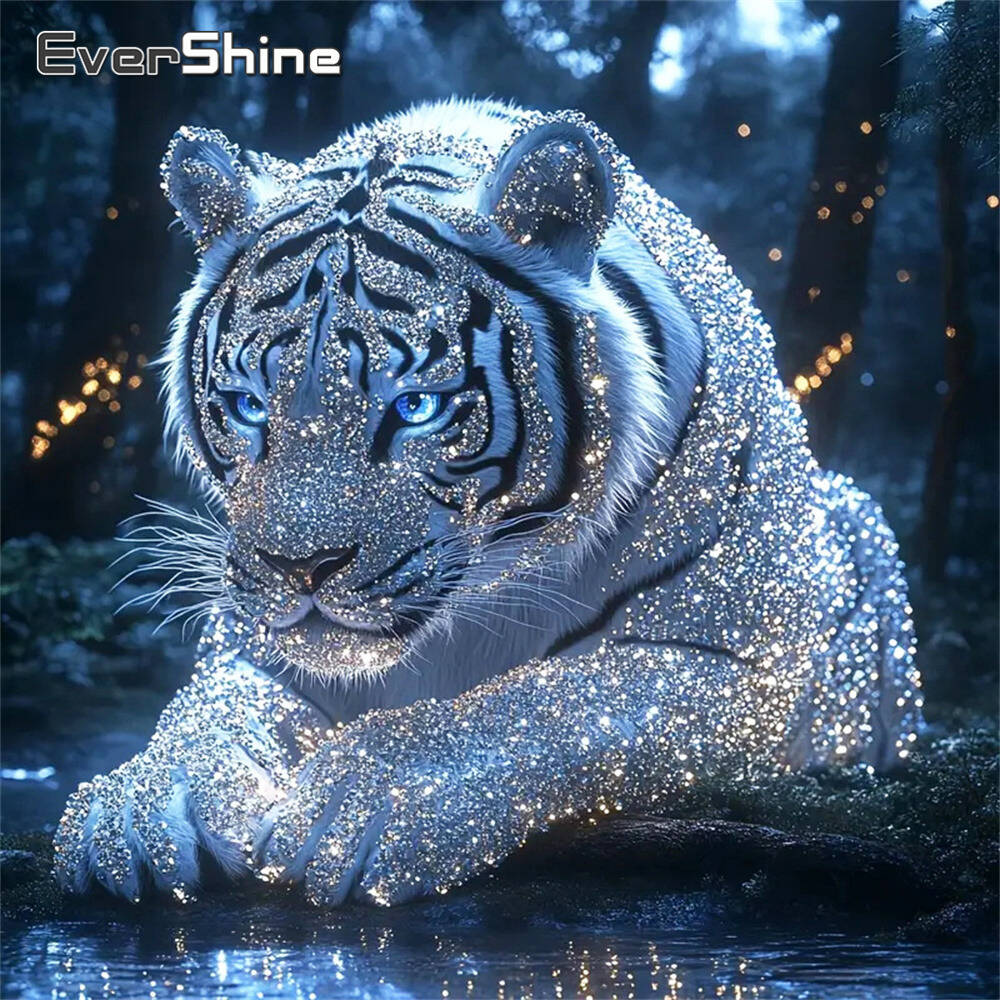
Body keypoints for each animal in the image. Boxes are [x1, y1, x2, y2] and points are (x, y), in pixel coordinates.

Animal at [54, 99, 923, 907]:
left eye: (415, 408)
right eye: (247, 405)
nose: (299, 568)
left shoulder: (740, 662)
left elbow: (550, 703)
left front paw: (363, 803)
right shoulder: (250, 646)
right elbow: (207, 715)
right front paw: (135, 807)